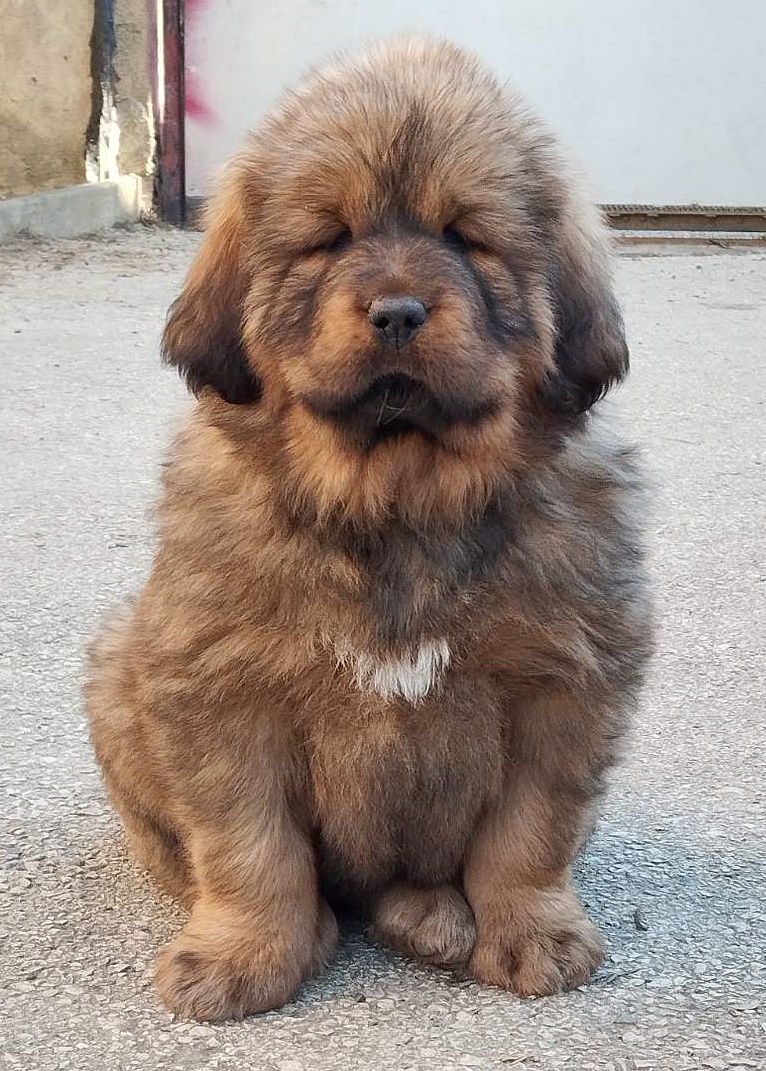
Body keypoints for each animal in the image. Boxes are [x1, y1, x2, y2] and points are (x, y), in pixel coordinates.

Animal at [85, 35, 653, 1021]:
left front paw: (532, 929)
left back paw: (429, 915)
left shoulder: (565, 682)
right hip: (118, 674)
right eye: (331, 239)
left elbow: (529, 834)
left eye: (465, 237)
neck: (396, 503)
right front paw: (244, 949)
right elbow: (248, 846)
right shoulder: (218, 685)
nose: (396, 311)